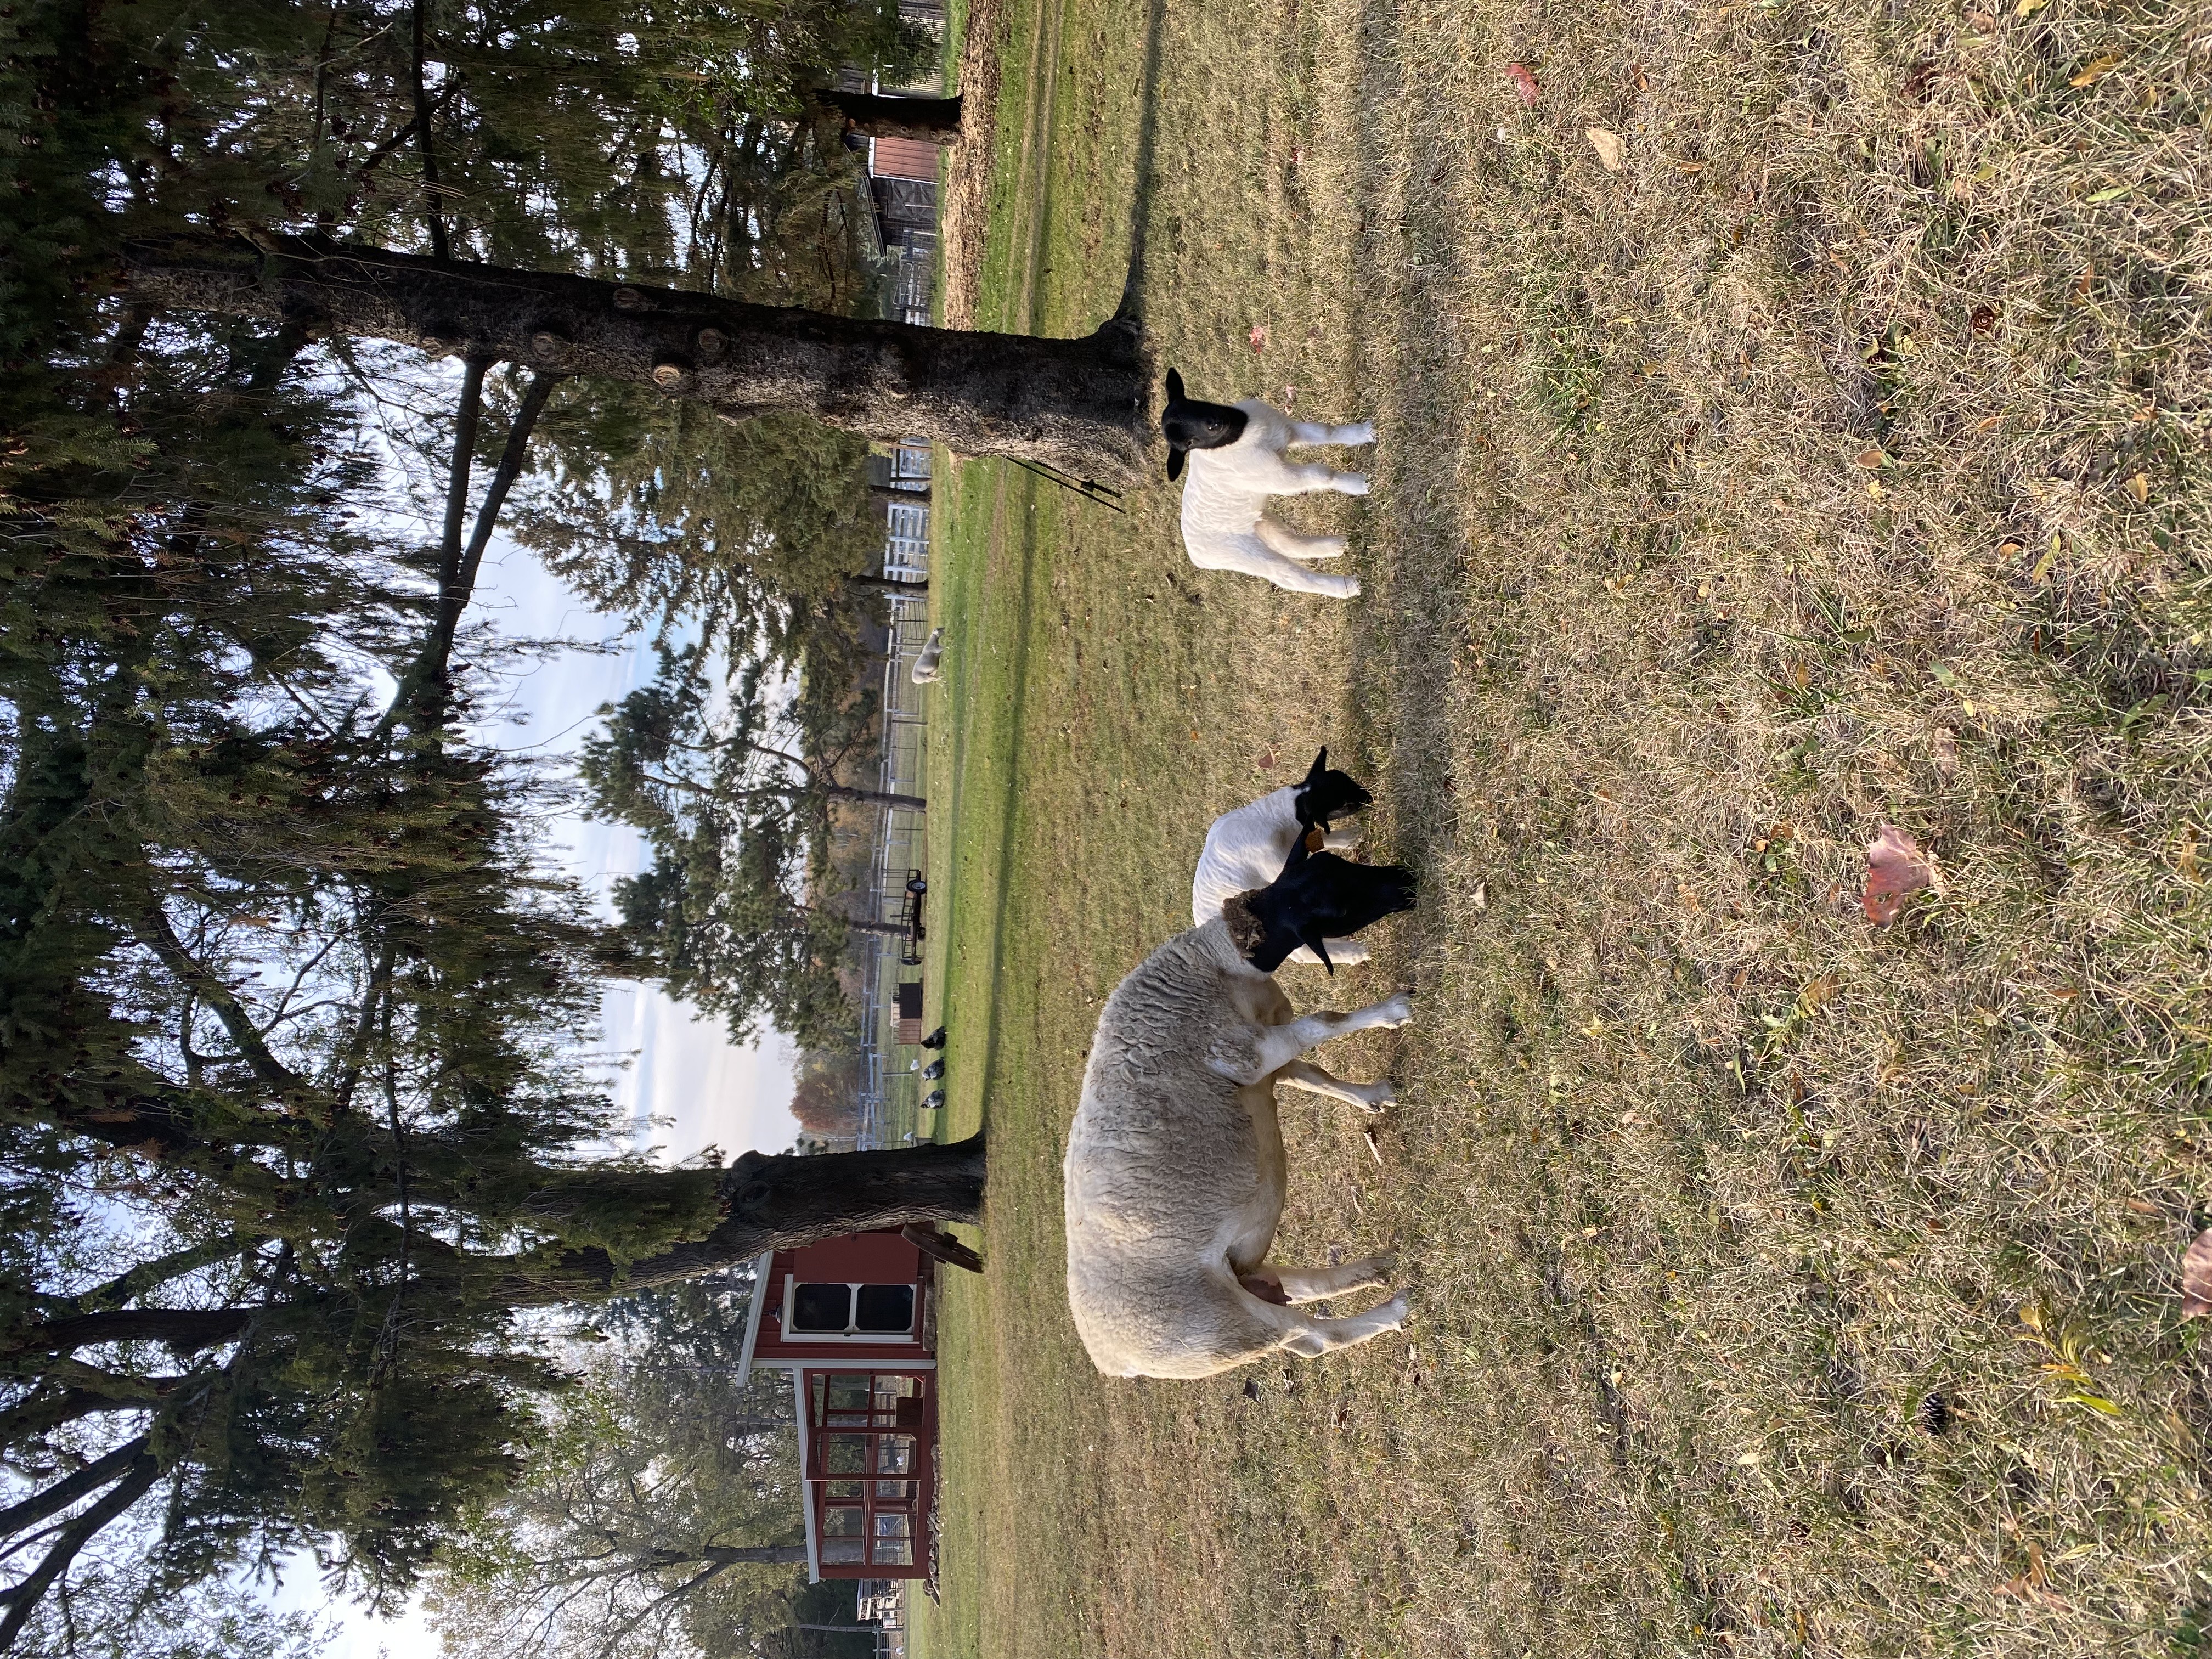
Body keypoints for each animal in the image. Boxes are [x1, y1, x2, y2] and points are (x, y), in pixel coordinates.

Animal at [1063, 831, 1418, 1379]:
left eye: (1336, 864)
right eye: (1335, 905)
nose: (1407, 879)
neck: (1213, 961)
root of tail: (1114, 1361)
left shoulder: (1265, 1058)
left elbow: (1315, 1076)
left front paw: (1372, 1096)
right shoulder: (1244, 1052)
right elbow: (1324, 1022)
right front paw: (1393, 1011)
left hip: (1243, 1275)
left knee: (1299, 1292)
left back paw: (1371, 1270)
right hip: (1219, 1328)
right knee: (1313, 1337)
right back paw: (1392, 1310)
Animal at [1161, 368, 1375, 599]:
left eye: (1189, 405)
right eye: (1189, 443)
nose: (1214, 424)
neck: (1240, 433)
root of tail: (1194, 554)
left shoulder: (1286, 429)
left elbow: (1326, 431)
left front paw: (1365, 433)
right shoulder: (1278, 477)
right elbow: (1320, 475)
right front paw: (1359, 484)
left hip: (1260, 522)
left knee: (1289, 543)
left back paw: (1338, 546)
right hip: (1242, 553)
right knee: (1287, 575)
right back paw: (1348, 587)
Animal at [1193, 749, 1376, 968]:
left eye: (1350, 780)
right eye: (1347, 806)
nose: (1371, 797)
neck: (1273, 816)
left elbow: (1320, 837)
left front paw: (1353, 837)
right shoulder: (1278, 868)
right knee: (1305, 952)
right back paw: (1359, 952)